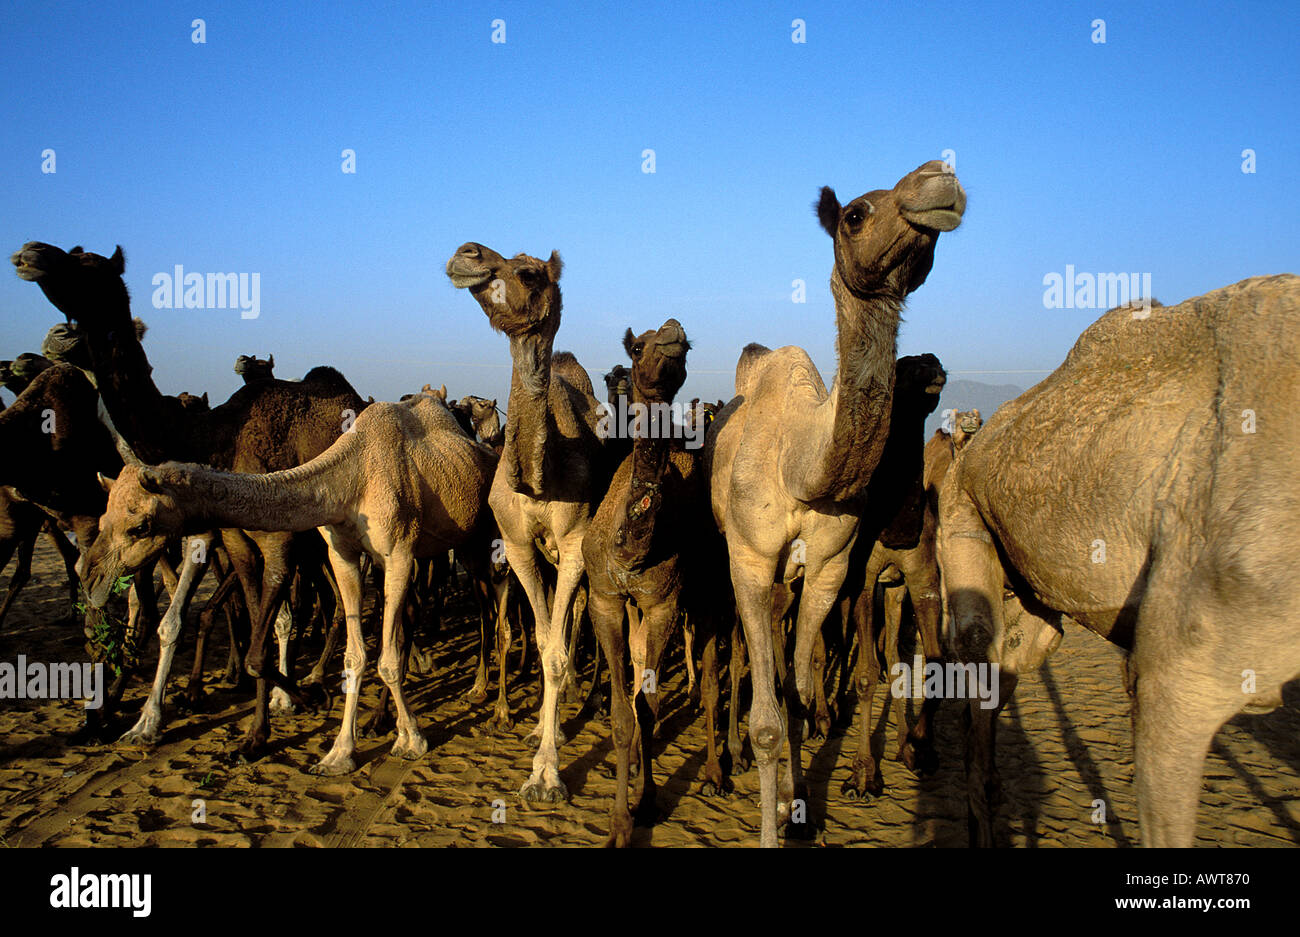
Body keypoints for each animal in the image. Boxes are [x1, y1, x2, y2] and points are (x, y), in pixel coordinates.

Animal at [12, 241, 366, 755]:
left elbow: (266, 636)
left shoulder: (278, 538)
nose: (28, 254)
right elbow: (259, 637)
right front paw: (258, 732)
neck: (213, 439)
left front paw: (289, 702)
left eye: (88, 267)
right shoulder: (237, 541)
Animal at [84, 391, 497, 773]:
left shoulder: (399, 553)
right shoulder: (343, 553)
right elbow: (355, 655)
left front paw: (411, 739)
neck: (352, 476)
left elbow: (389, 658)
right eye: (103, 517)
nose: (91, 579)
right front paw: (338, 753)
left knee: (479, 606)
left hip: (470, 542)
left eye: (140, 526)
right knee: (414, 613)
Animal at [447, 242, 611, 803]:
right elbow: (541, 644)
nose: (465, 254)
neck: (542, 475)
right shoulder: (517, 545)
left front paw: (547, 775)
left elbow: (558, 648)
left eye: (528, 273)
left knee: (582, 613)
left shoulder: (577, 542)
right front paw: (542, 738)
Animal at [581, 319, 730, 845]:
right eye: (639, 345)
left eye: (685, 346)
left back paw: (716, 773)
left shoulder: (665, 604)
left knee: (712, 681)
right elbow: (625, 715)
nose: (673, 331)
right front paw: (619, 821)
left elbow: (646, 707)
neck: (633, 549)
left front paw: (643, 805)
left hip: (709, 592)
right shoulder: (607, 599)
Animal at [705, 160, 965, 845]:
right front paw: (771, 827)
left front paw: (799, 811)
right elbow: (769, 720)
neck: (802, 468)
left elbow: (798, 694)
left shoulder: (830, 567)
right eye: (855, 214)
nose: (940, 178)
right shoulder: (749, 560)